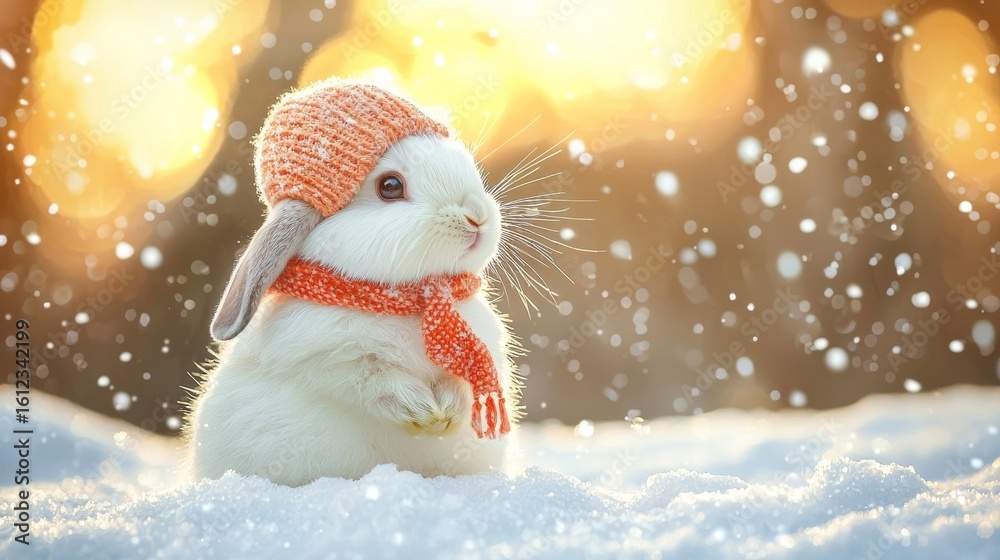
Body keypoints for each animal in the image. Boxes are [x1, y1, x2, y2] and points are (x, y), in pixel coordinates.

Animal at [184, 125, 522, 487]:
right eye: (390, 186)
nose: (477, 216)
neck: (409, 302)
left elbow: (464, 382)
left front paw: (448, 412)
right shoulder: (328, 360)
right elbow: (371, 380)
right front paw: (423, 412)